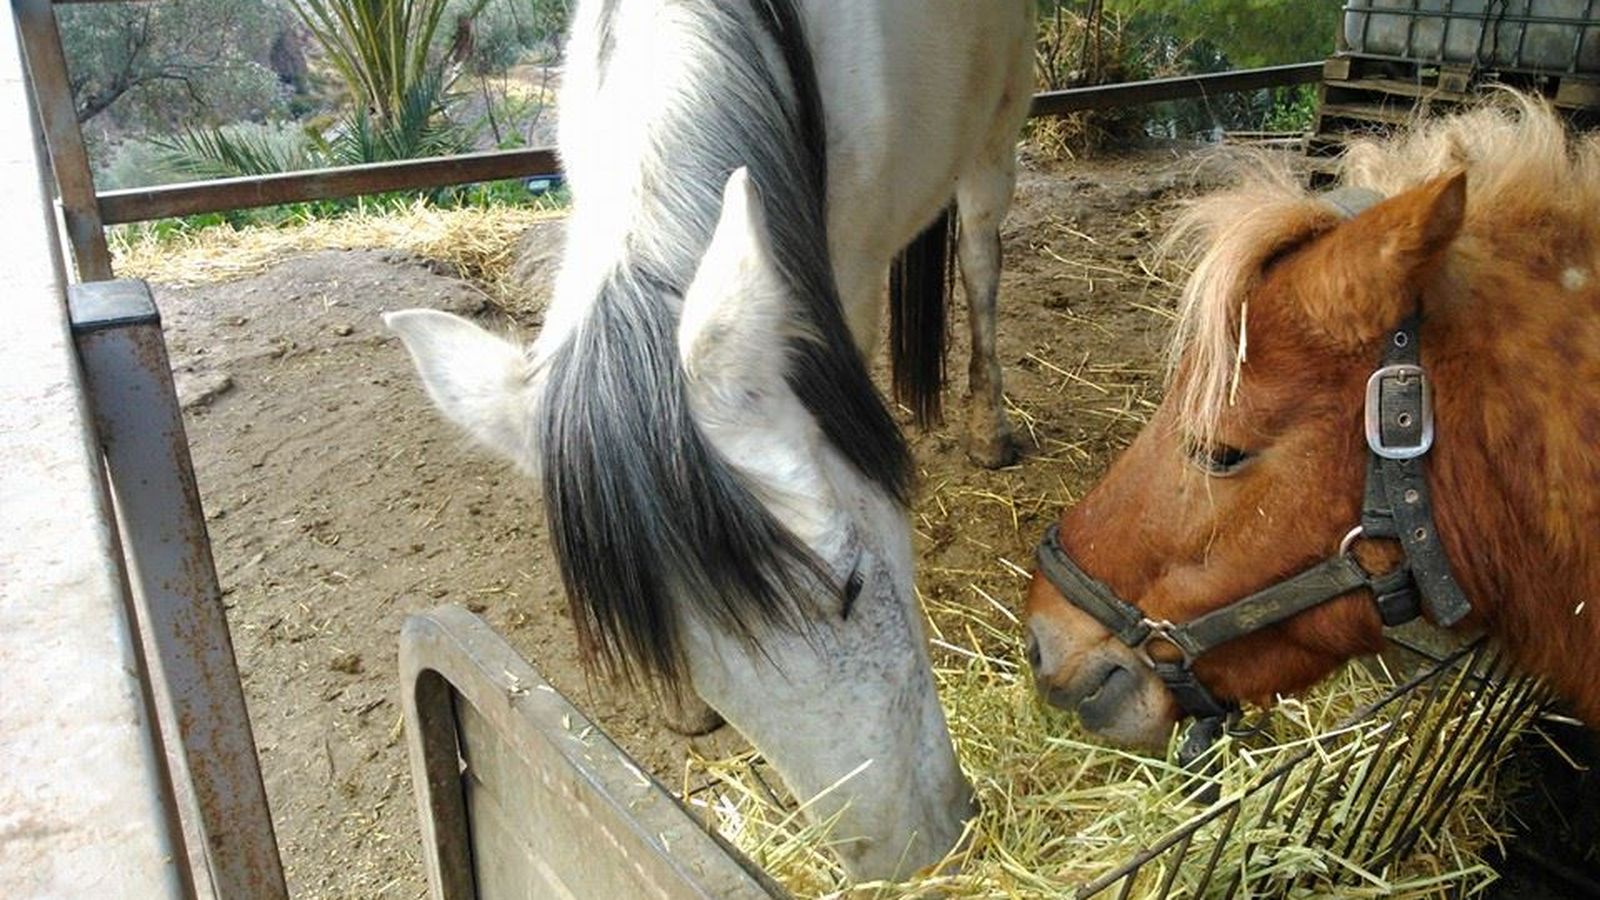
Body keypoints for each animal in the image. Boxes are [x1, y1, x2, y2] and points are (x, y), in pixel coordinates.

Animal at [385, 0, 1034, 880]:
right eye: (668, 647)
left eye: (851, 585)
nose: (919, 856)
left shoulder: (841, 286)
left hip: (1000, 119)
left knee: (979, 252)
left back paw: (987, 425)